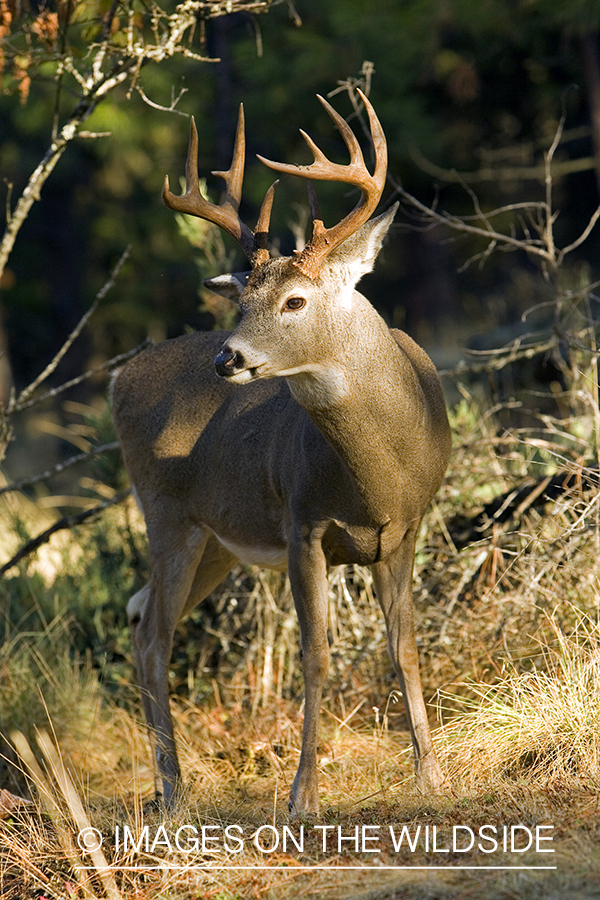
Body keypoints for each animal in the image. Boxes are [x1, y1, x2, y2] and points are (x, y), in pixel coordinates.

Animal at [112, 91, 450, 816]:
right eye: (241, 301)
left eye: (295, 299)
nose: (227, 358)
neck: (377, 472)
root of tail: (118, 377)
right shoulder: (302, 524)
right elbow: (316, 655)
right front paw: (303, 796)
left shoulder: (406, 528)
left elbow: (405, 646)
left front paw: (432, 777)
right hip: (167, 515)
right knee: (153, 637)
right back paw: (174, 791)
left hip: (216, 543)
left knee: (139, 615)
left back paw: (164, 785)